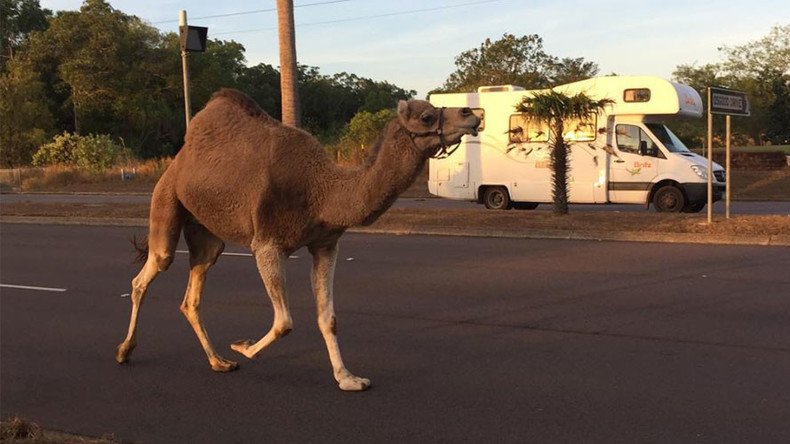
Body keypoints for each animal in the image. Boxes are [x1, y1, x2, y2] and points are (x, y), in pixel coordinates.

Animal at [114, 88, 480, 390]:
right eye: (427, 116)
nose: (471, 114)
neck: (323, 191)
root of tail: (178, 160)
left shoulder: (325, 244)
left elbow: (327, 318)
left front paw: (348, 378)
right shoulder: (268, 244)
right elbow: (284, 322)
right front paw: (243, 347)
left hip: (207, 234)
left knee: (193, 289)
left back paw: (218, 362)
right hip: (165, 199)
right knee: (150, 270)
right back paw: (124, 351)